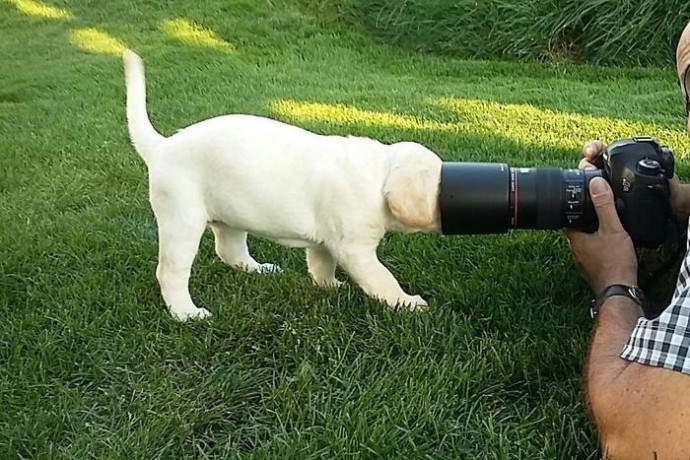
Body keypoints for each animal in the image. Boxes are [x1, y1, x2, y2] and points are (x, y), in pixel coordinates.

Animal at [122, 49, 440, 320]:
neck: (380, 174)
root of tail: (161, 146)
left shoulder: (327, 241)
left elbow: (321, 263)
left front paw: (330, 286)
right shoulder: (355, 248)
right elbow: (383, 280)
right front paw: (407, 303)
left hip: (231, 214)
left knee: (229, 251)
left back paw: (259, 269)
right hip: (182, 220)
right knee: (171, 271)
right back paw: (187, 314)